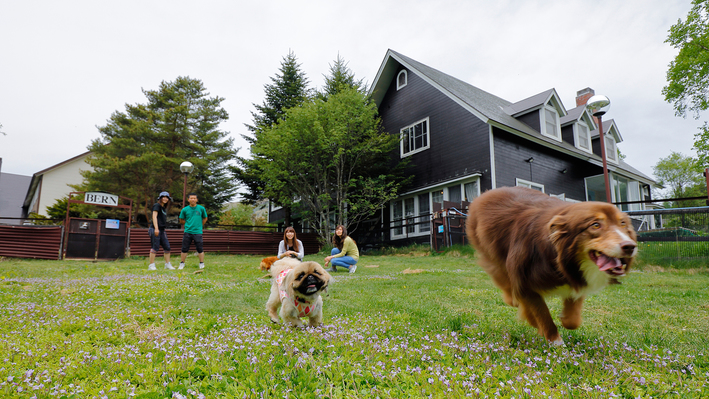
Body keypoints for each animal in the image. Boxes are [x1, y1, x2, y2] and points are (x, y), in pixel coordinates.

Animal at [464, 188, 636, 344]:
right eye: (595, 225)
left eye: (622, 223)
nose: (630, 246)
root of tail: (485, 194)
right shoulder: (526, 284)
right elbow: (543, 315)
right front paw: (556, 342)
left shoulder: (575, 278)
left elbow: (572, 320)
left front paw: (562, 320)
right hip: (493, 256)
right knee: (505, 283)